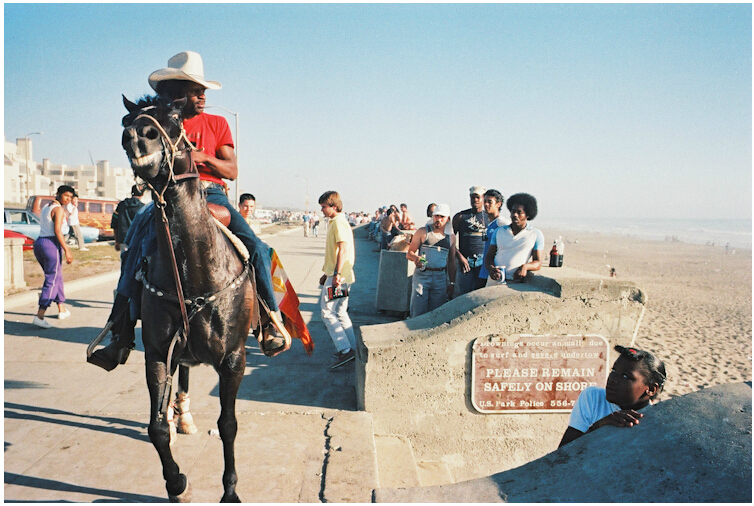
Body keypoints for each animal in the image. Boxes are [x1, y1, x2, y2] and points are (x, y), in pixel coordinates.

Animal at [122, 96, 254, 502]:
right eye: (126, 120)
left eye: (176, 117)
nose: (138, 135)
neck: (193, 278)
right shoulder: (155, 354)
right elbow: (155, 428)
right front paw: (177, 483)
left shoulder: (234, 360)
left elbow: (228, 425)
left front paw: (230, 491)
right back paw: (180, 414)